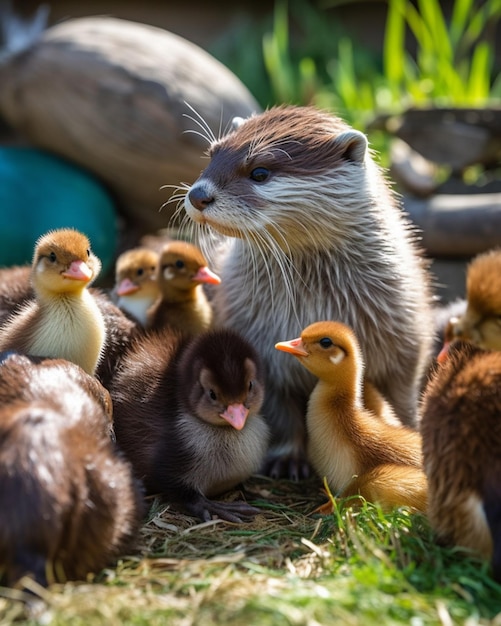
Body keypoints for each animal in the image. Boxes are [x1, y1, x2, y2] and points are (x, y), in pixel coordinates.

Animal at [181, 103, 434, 478]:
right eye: (212, 154)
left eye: (259, 172)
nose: (198, 195)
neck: (315, 304)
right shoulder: (261, 346)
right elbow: (279, 412)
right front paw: (287, 460)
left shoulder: (407, 345)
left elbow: (403, 397)